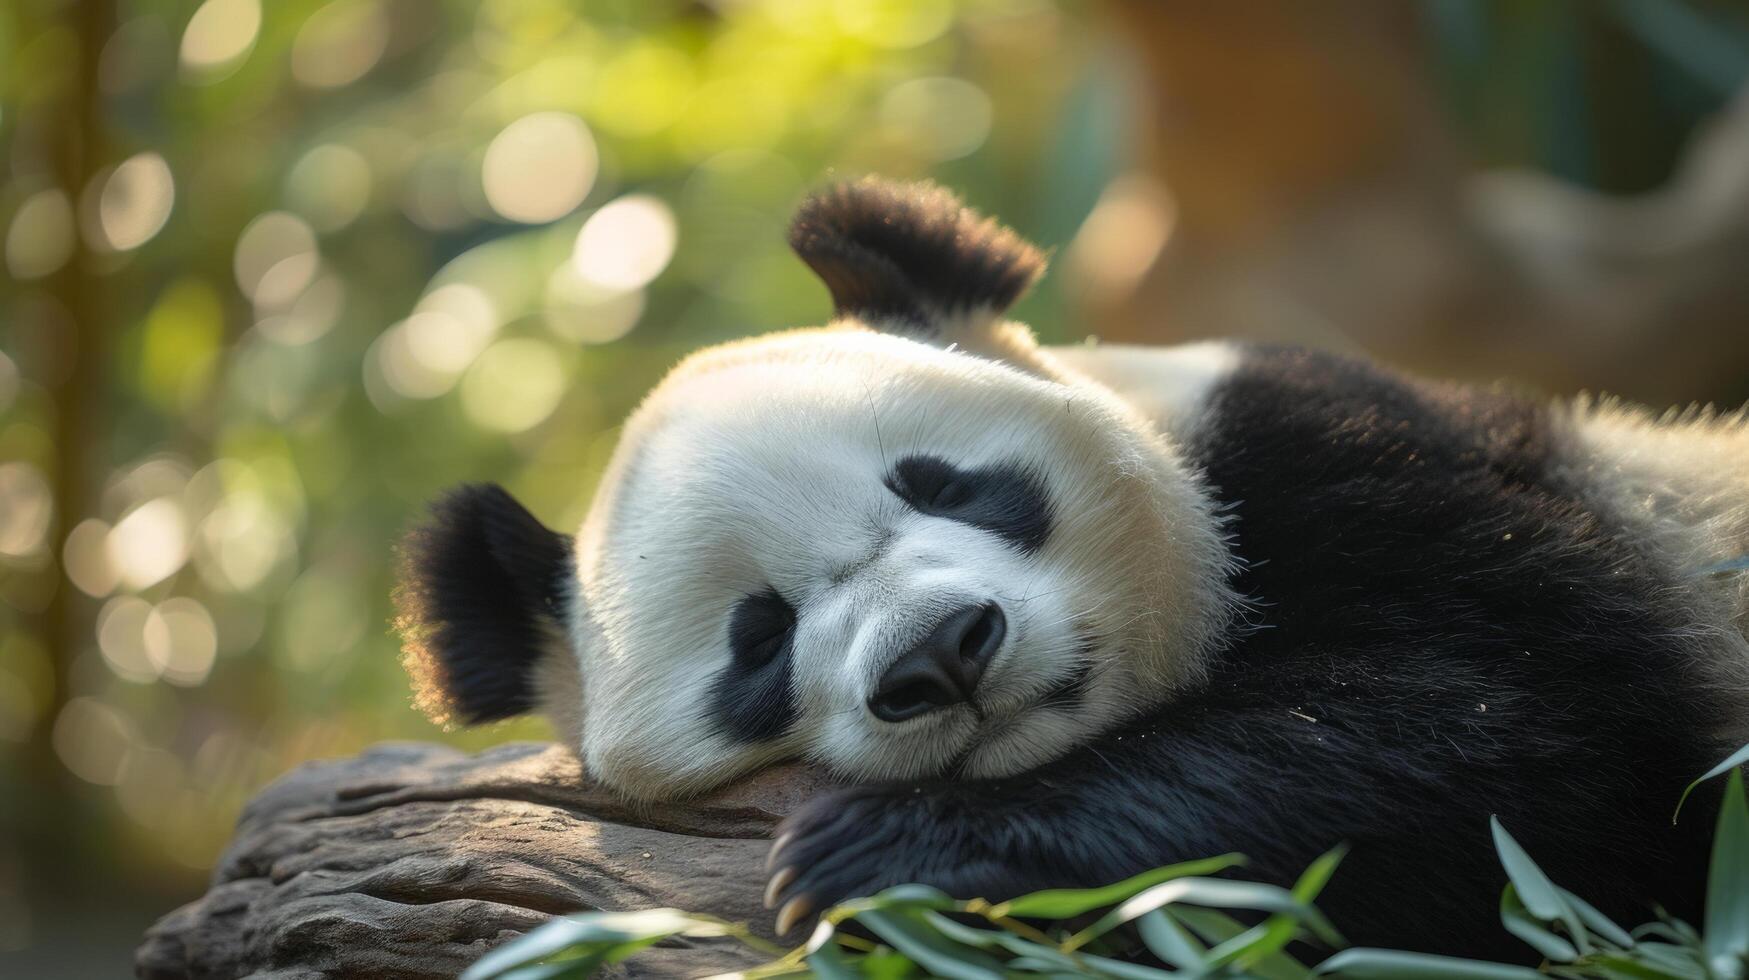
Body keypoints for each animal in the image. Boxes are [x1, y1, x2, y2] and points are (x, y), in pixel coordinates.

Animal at [393, 174, 1749, 959]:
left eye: (939, 481)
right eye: (759, 637)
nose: (942, 652)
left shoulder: (1349, 454)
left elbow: (1514, 731)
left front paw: (882, 850)